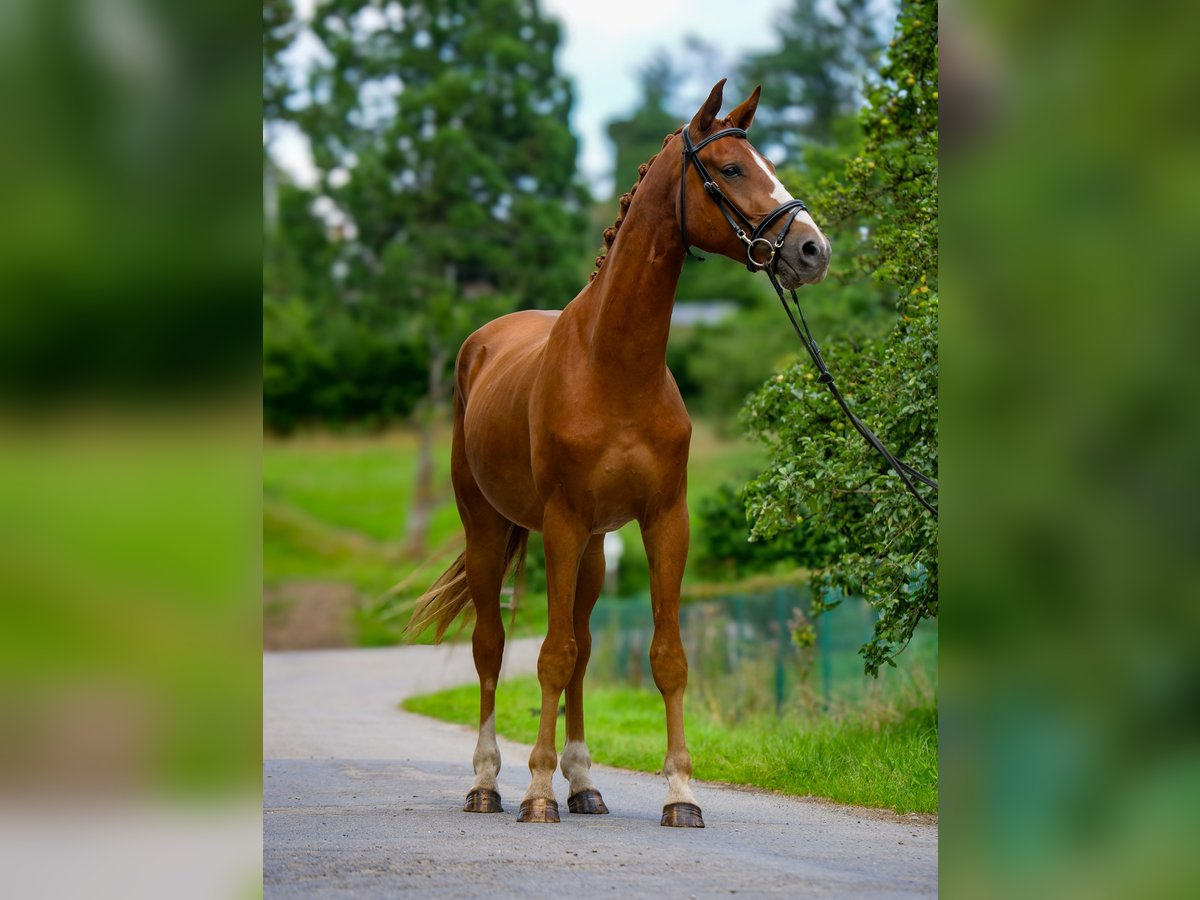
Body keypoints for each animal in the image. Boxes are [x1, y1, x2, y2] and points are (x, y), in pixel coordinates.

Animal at [408, 81, 830, 830]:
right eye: (730, 169)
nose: (813, 249)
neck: (615, 367)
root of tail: (481, 343)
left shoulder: (664, 522)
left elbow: (664, 656)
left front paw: (680, 792)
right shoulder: (563, 523)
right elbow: (548, 656)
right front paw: (536, 793)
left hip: (597, 553)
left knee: (581, 648)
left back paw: (585, 785)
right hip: (489, 528)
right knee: (492, 647)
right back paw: (488, 784)